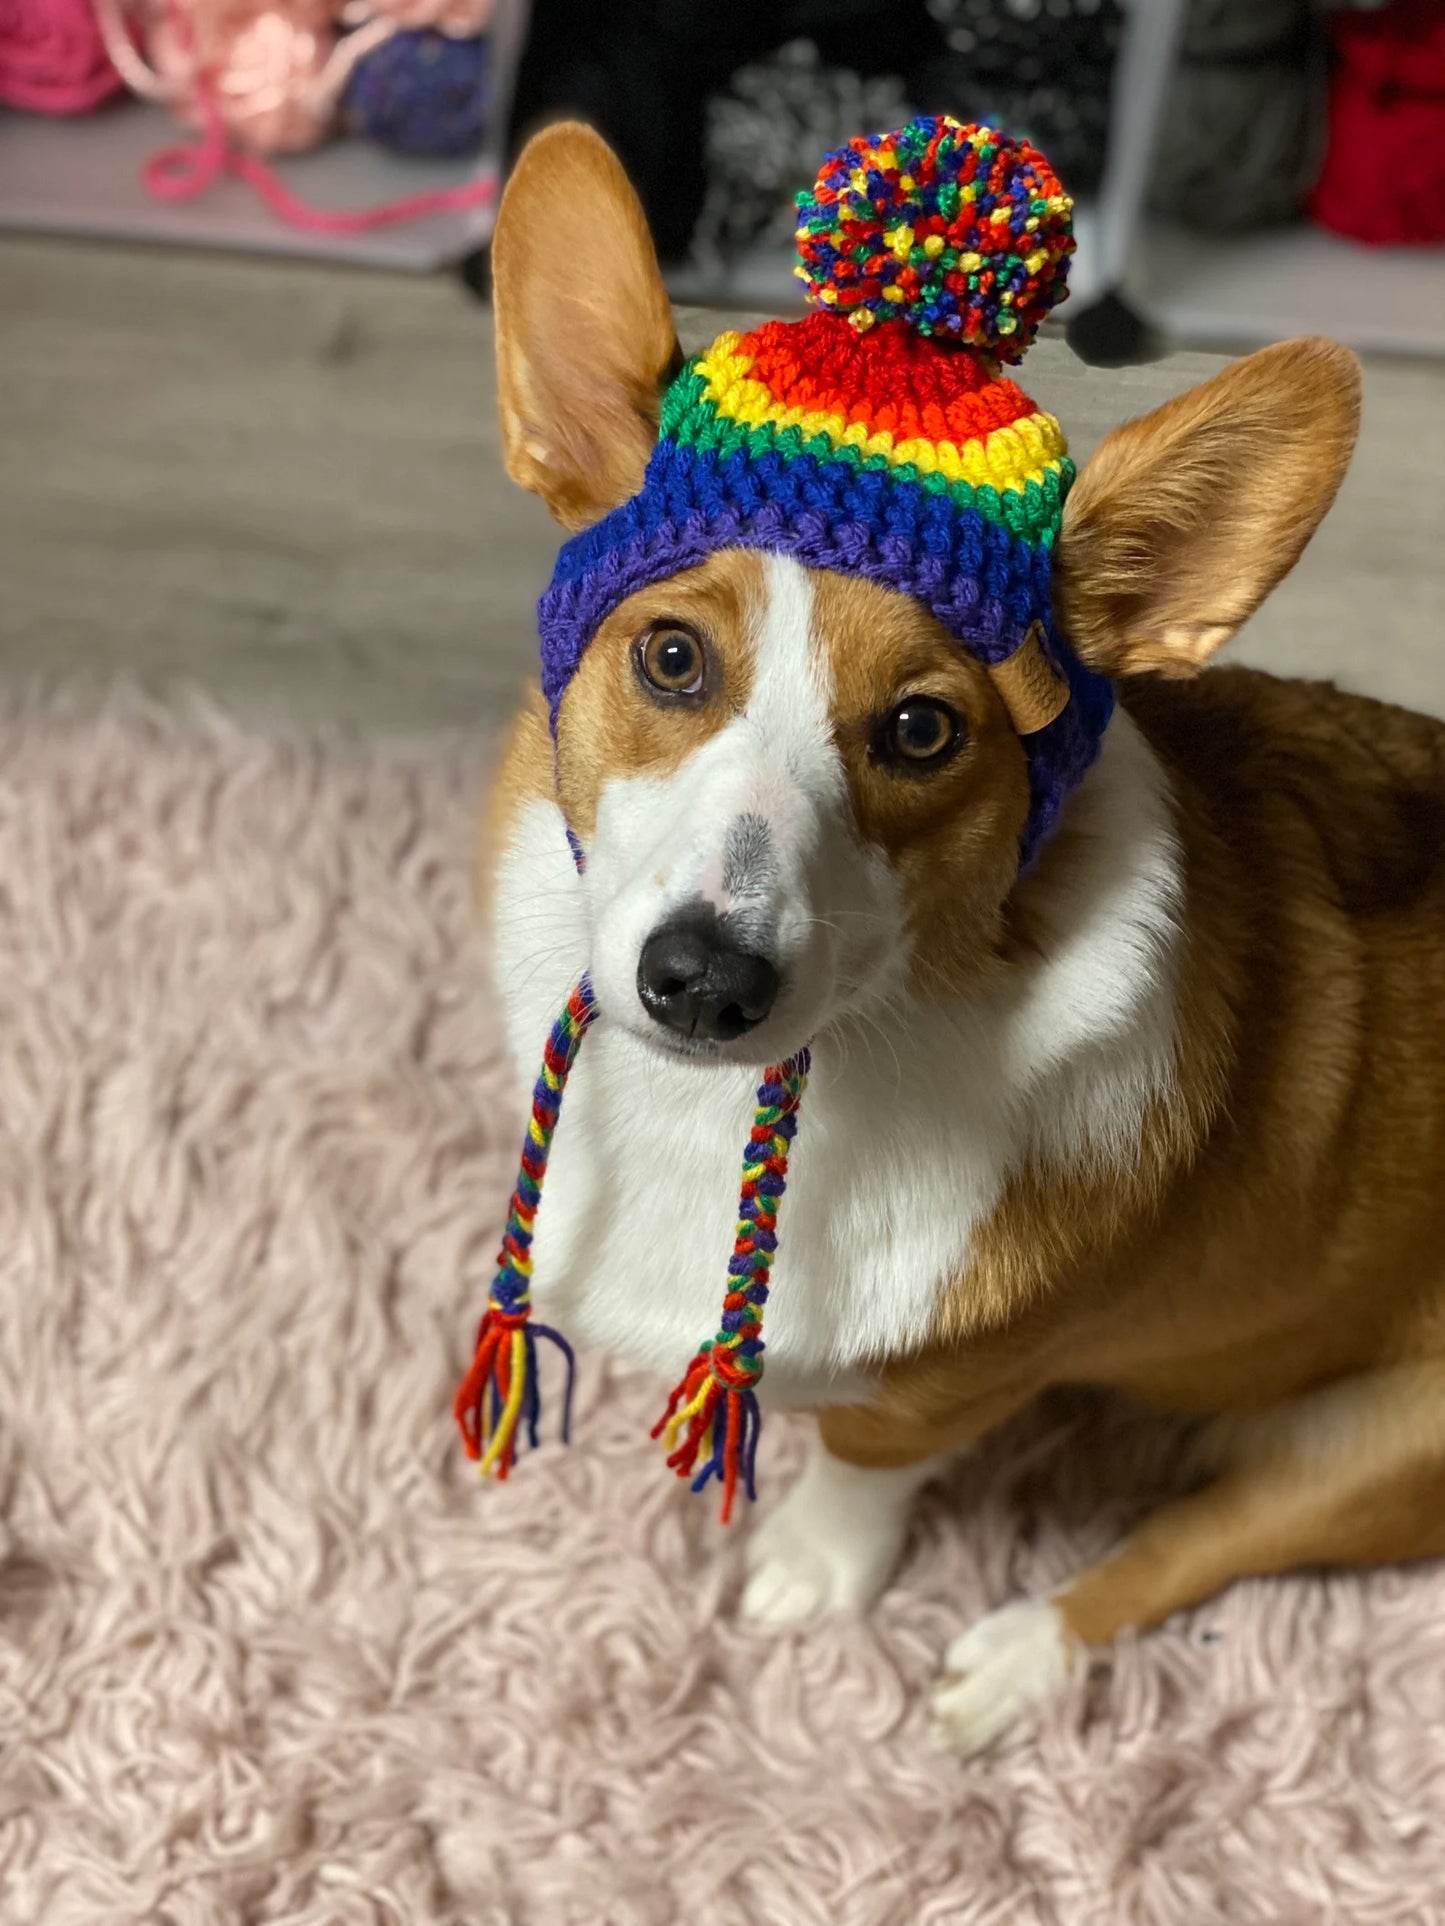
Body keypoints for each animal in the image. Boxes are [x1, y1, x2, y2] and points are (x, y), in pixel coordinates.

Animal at [481, 112, 1445, 1756]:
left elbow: (859, 1472)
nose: (702, 983)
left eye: (923, 730)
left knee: (1185, 1544)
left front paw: (806, 1574)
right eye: (670, 657)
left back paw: (1009, 1660)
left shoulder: (937, 1391)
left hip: (1374, 1455)